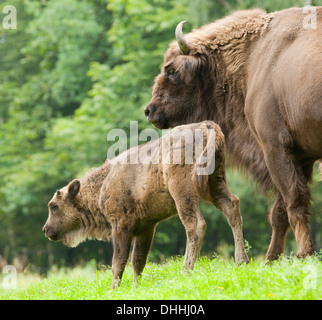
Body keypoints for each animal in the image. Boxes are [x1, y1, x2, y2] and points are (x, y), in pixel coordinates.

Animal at [42, 121, 249, 288]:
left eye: (54, 206)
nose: (46, 230)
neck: (103, 183)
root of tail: (207, 126)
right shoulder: (146, 228)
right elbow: (138, 260)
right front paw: (135, 286)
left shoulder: (120, 226)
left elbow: (119, 261)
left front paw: (114, 289)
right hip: (216, 182)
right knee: (232, 207)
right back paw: (241, 261)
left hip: (183, 192)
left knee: (195, 225)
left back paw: (186, 270)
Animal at [146, 8, 322, 260]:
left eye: (172, 71)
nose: (150, 110)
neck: (254, 55)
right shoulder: (302, 157)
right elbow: (281, 209)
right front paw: (271, 259)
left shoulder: (275, 147)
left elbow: (293, 200)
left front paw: (304, 254)